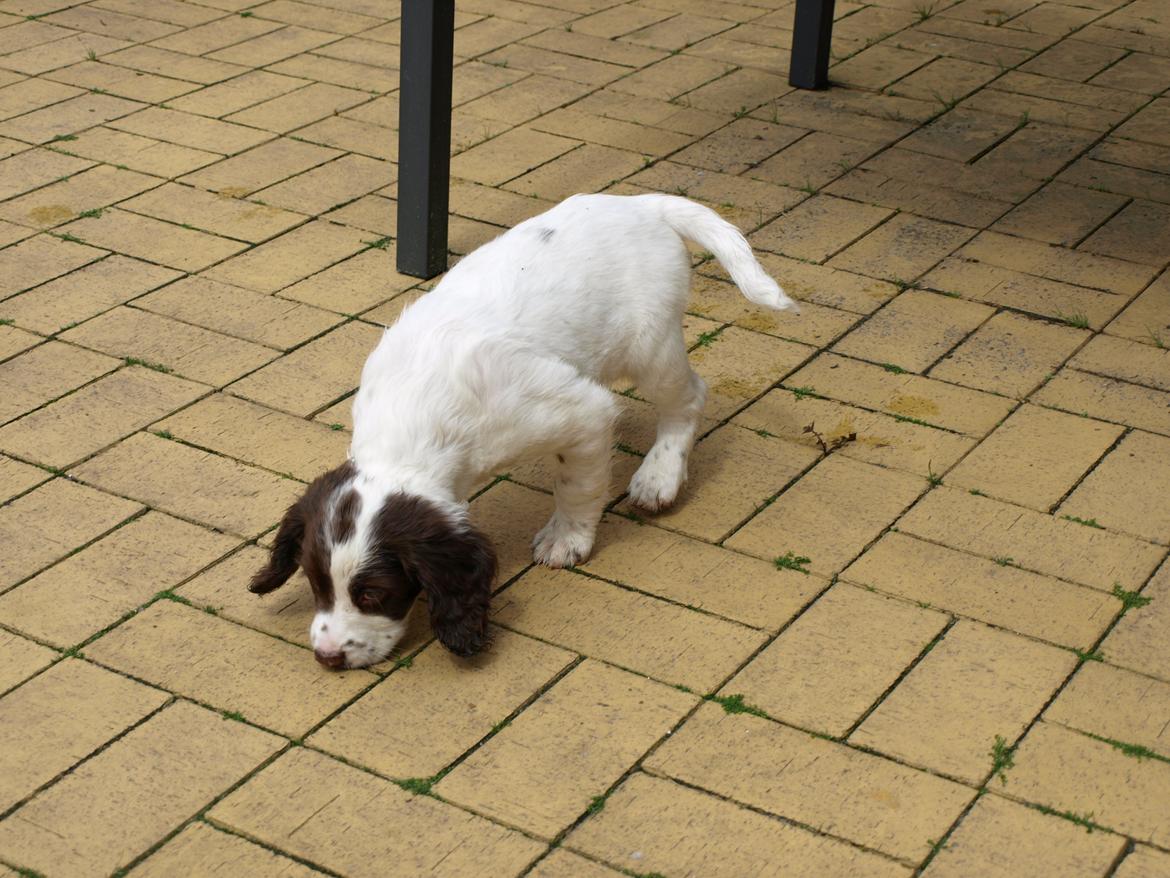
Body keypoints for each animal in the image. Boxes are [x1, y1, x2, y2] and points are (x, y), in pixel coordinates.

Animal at [250, 194, 800, 664]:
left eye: (373, 595)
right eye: (317, 585)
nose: (327, 658)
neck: (411, 429)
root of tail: (641, 204)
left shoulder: (580, 412)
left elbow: (577, 485)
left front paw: (567, 539)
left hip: (649, 345)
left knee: (687, 398)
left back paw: (659, 476)